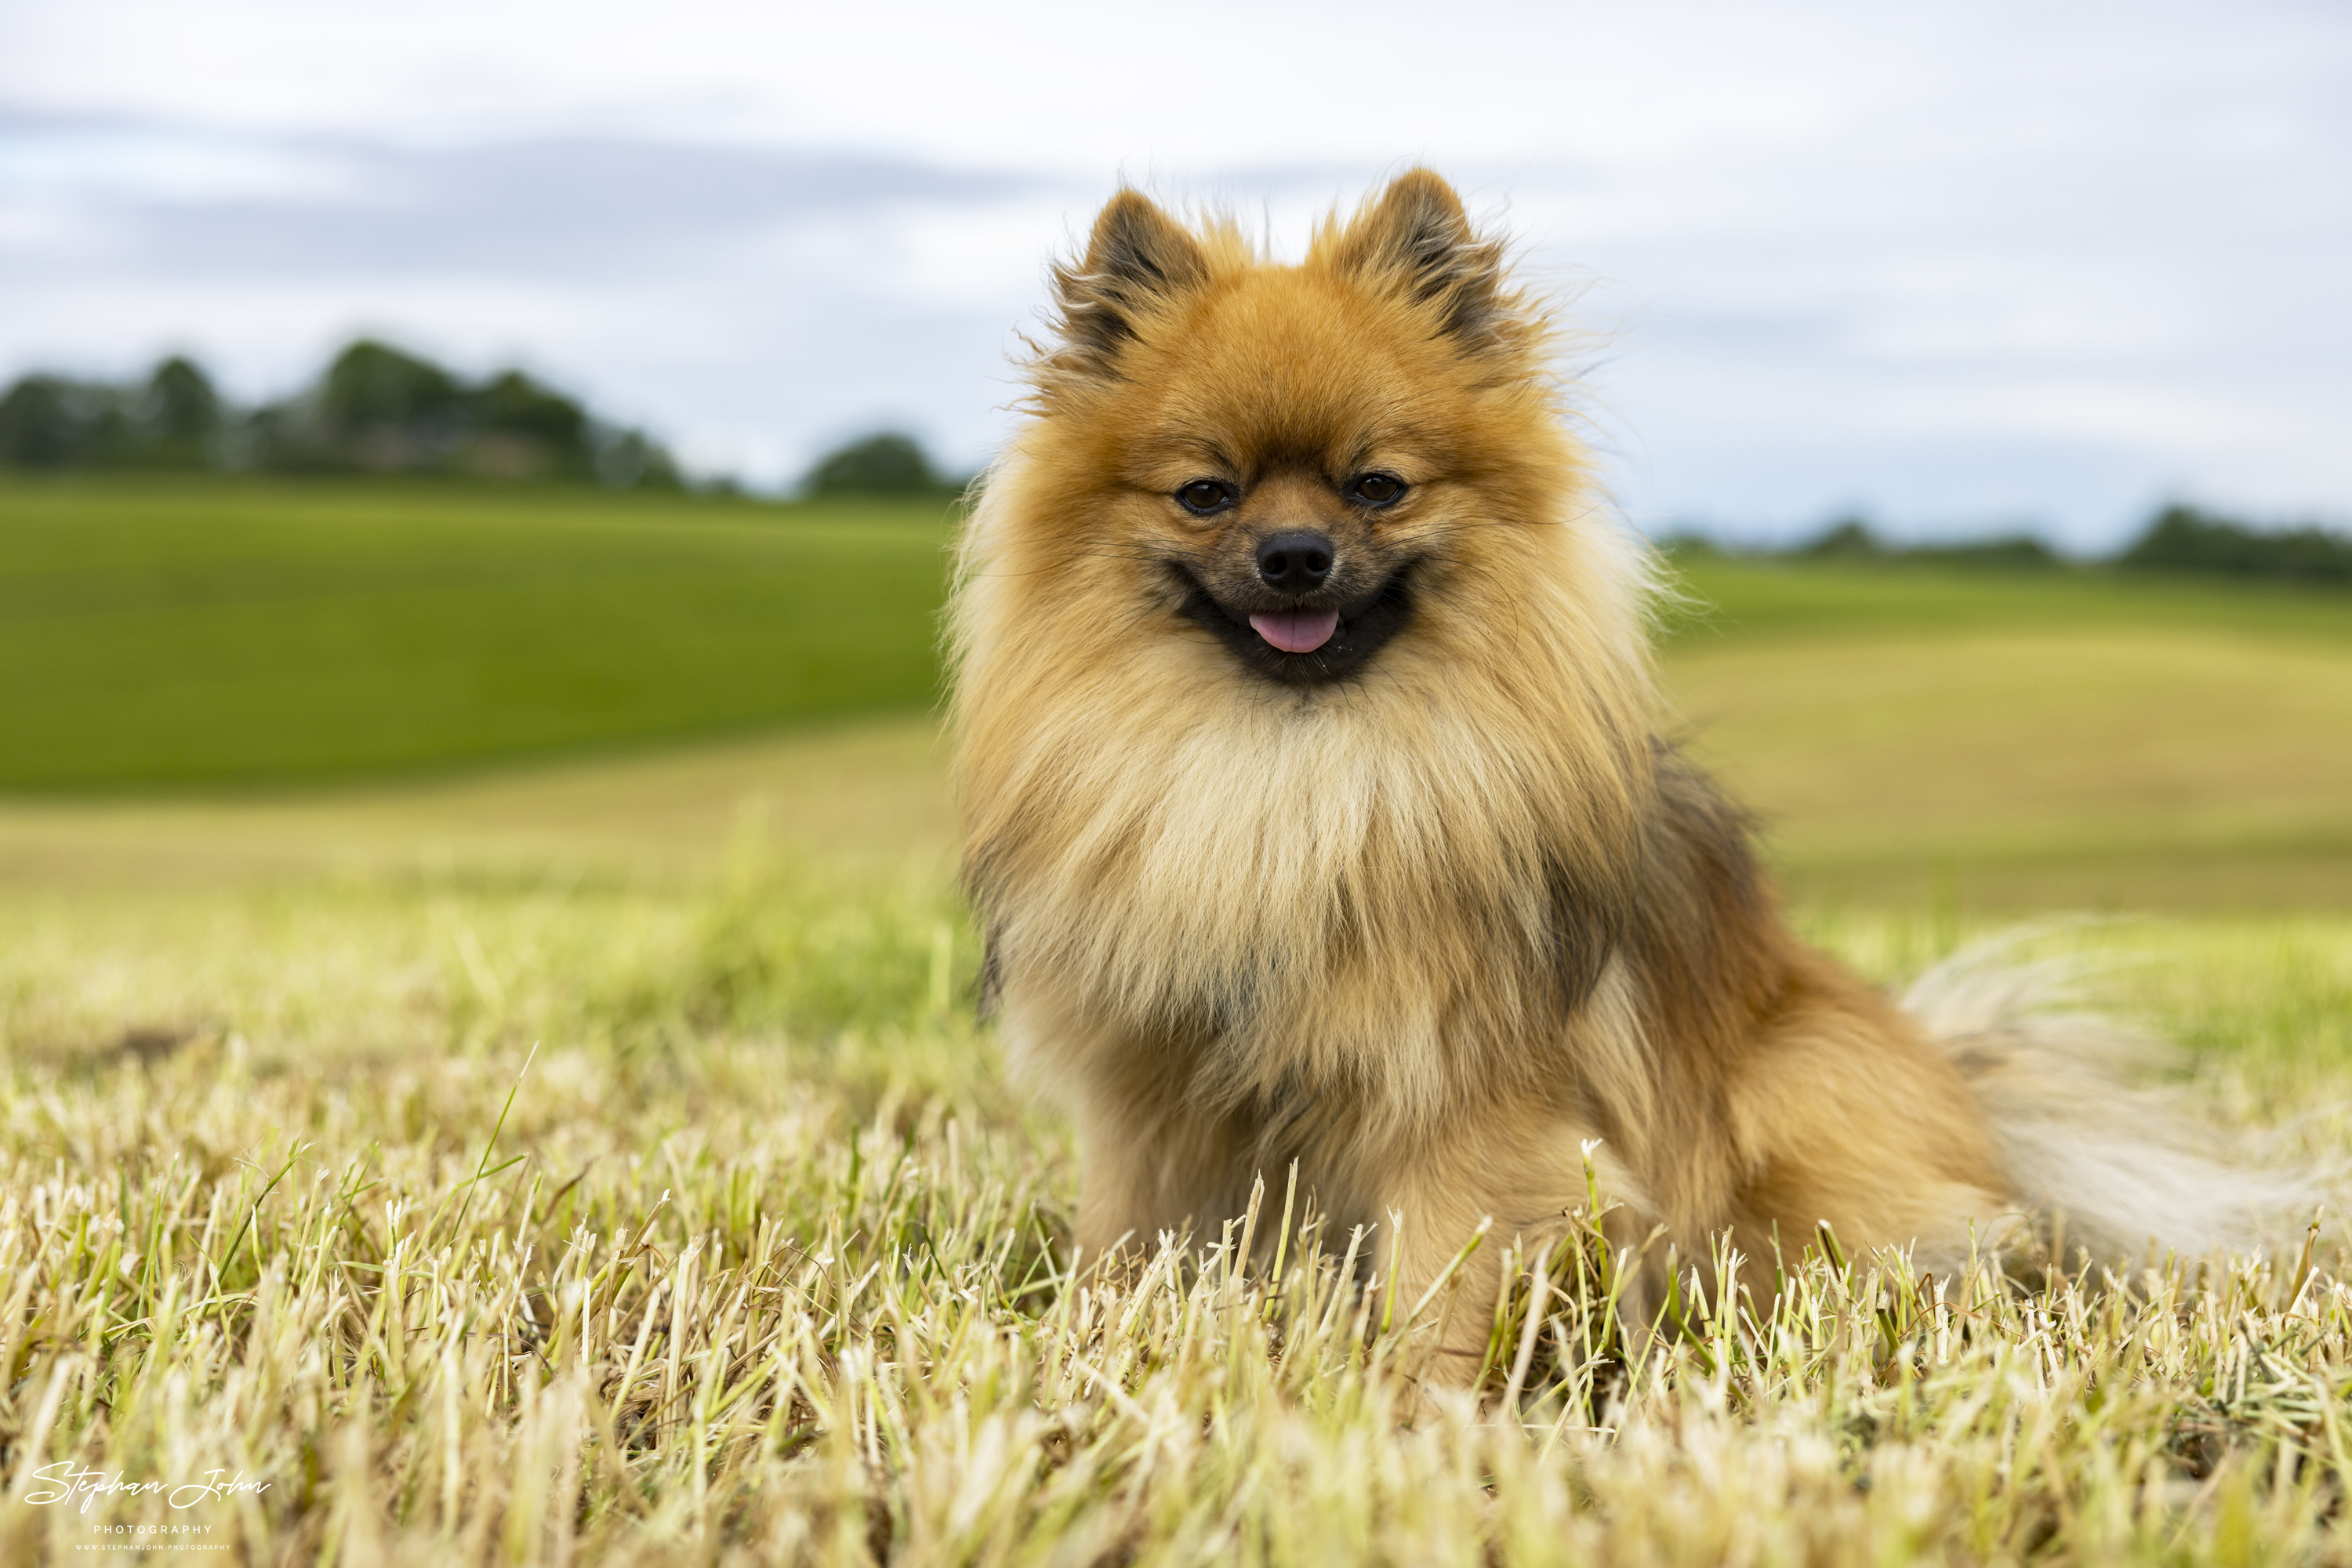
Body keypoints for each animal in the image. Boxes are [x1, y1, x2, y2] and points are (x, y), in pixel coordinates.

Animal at [946, 169, 2286, 1363]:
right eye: (1206, 494)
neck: (1290, 767)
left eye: (1378, 486)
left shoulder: (1462, 1104)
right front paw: (1091, 1347)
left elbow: (1437, 1290)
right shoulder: (1151, 1094)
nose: (1292, 557)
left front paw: (1413, 1411)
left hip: (1794, 1091)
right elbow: (1123, 1247)